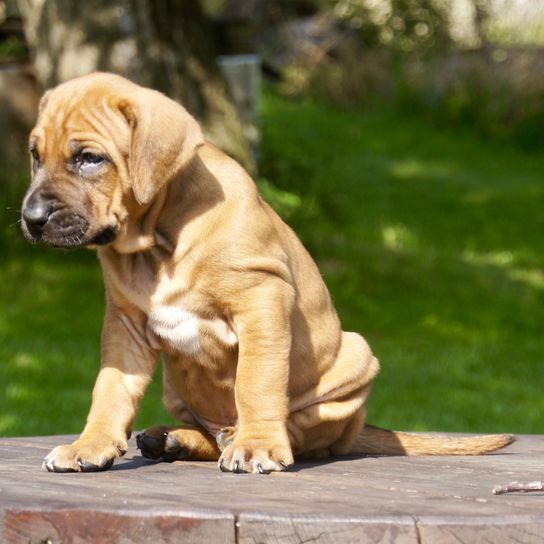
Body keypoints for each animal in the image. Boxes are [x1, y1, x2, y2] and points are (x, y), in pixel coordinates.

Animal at [21, 74, 516, 474]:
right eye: (34, 156)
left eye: (90, 158)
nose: (31, 218)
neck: (160, 241)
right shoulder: (125, 323)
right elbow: (110, 390)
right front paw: (90, 445)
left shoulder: (261, 300)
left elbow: (256, 382)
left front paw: (258, 445)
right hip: (176, 389)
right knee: (208, 428)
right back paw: (175, 439)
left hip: (355, 360)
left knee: (305, 435)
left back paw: (240, 439)